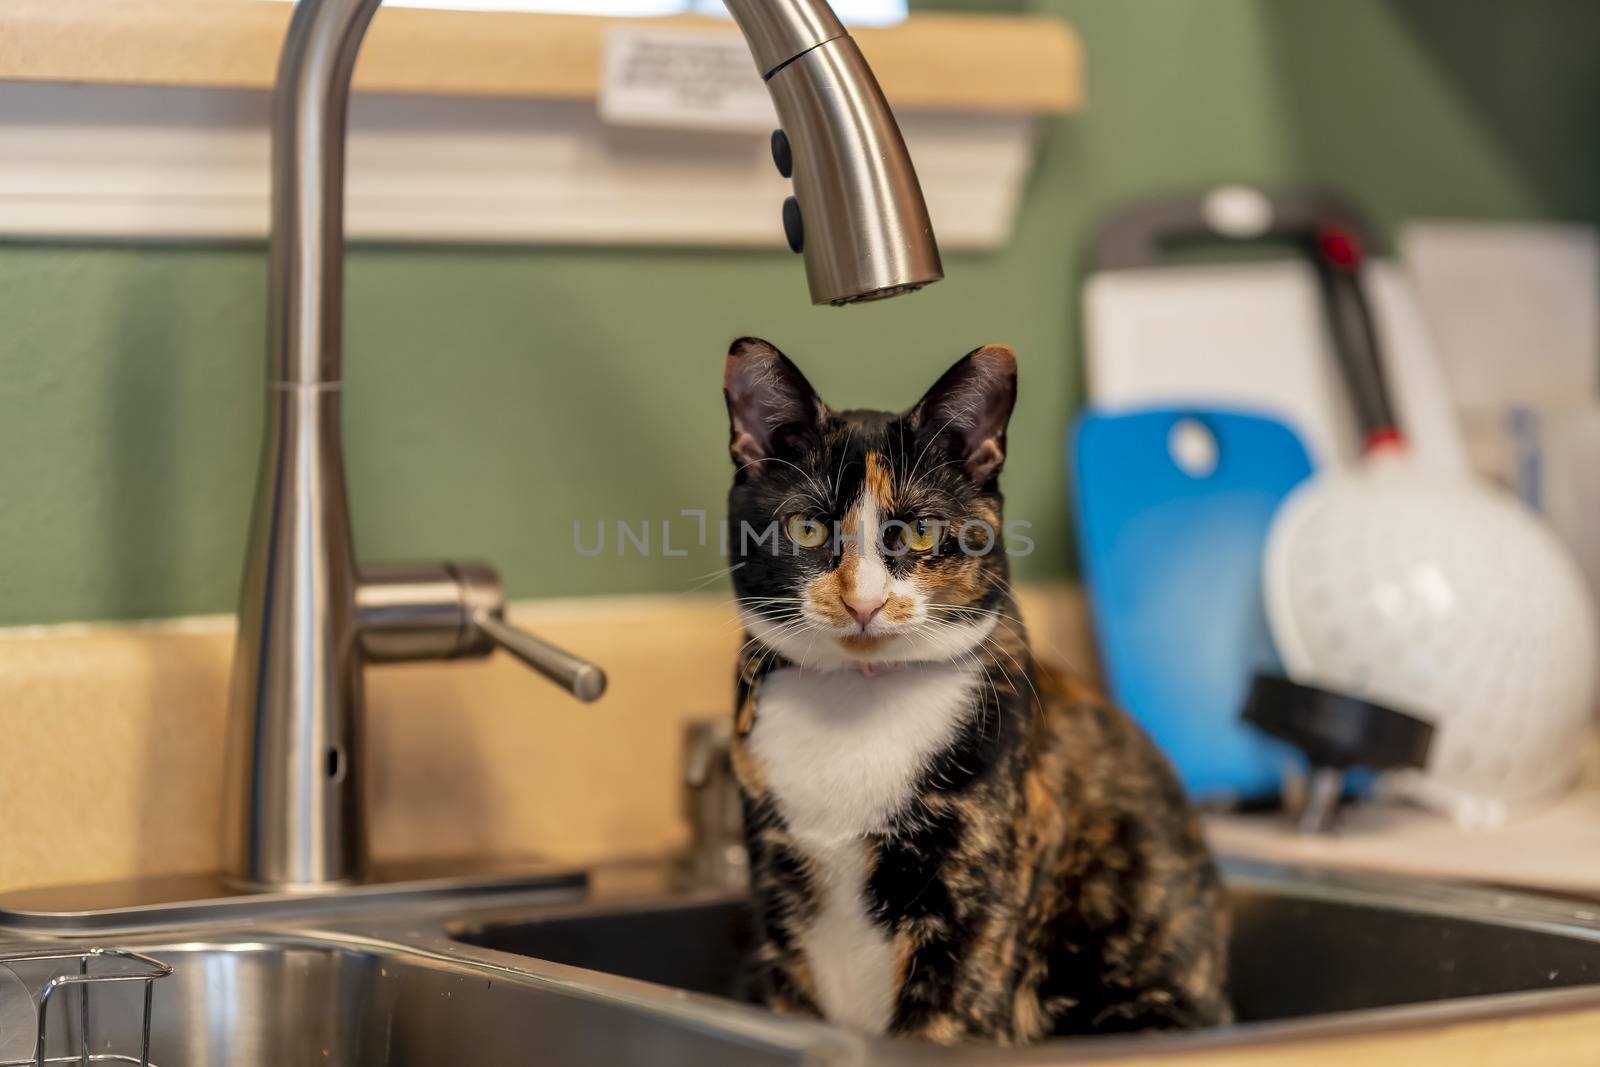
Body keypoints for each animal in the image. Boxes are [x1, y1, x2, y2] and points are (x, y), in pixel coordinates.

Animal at [720, 340, 1228, 1043]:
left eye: (922, 531)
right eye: (808, 529)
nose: (863, 602)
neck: (858, 702)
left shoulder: (972, 909)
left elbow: (944, 1021)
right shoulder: (779, 904)